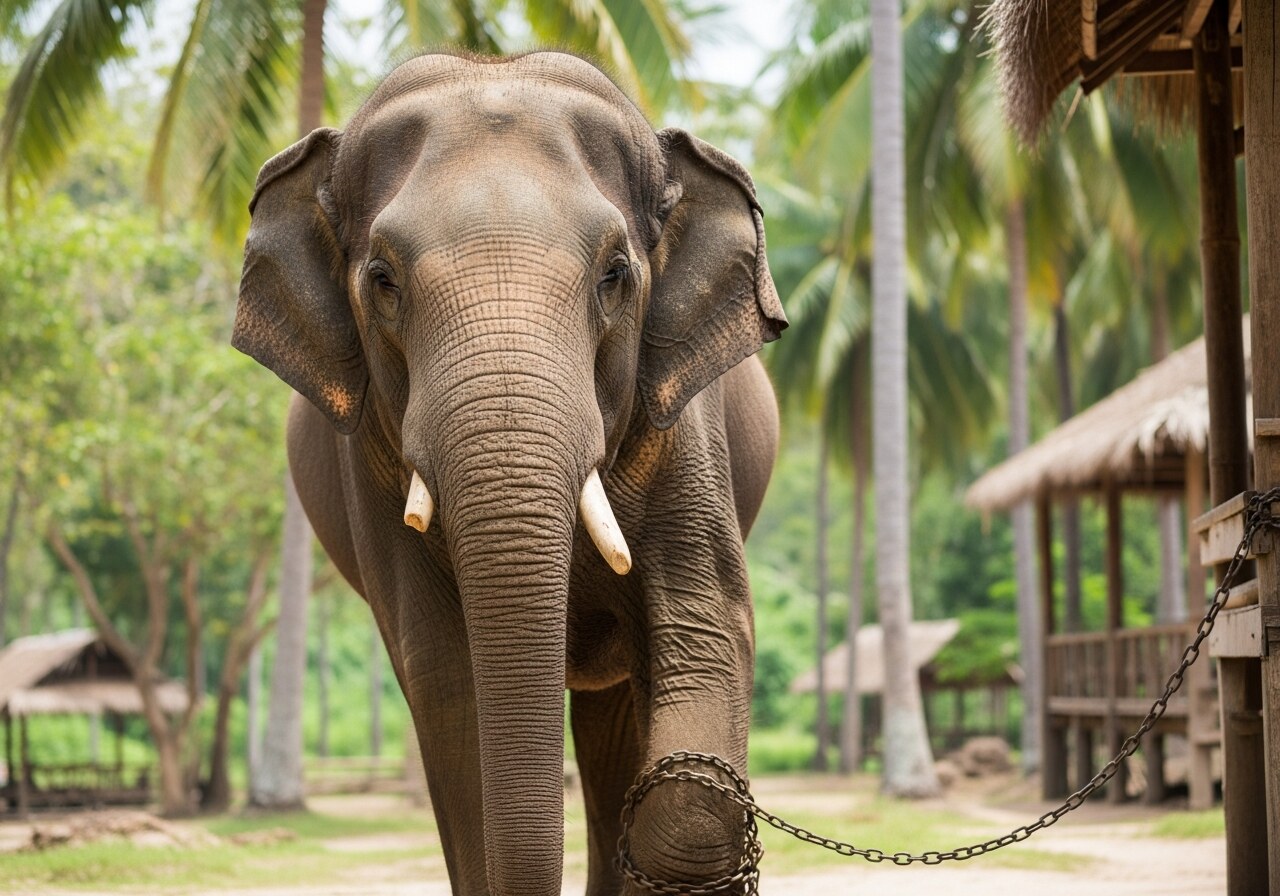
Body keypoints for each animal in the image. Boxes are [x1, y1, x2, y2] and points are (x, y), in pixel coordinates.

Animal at [232, 50, 786, 896]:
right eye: (383, 280)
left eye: (616, 274)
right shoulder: (372, 465)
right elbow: (446, 680)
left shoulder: (687, 431)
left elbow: (706, 630)